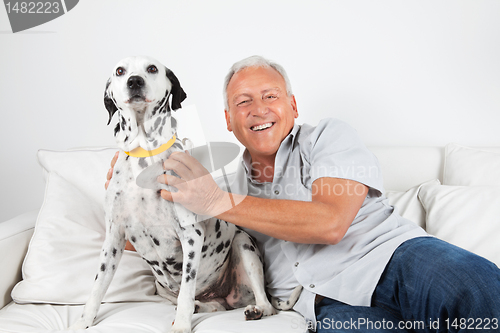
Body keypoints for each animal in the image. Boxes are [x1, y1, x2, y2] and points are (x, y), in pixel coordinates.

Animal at [70, 55, 300, 330]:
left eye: (152, 68)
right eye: (119, 71)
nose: (134, 81)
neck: (144, 157)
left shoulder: (191, 235)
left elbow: (186, 292)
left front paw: (181, 325)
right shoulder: (113, 238)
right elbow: (97, 288)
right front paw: (82, 322)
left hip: (244, 245)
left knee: (264, 303)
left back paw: (256, 309)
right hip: (162, 286)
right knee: (213, 305)